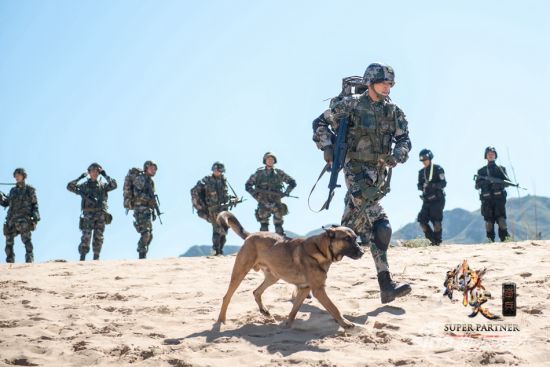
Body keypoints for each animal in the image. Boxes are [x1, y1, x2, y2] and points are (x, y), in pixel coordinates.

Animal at [217, 211, 366, 330]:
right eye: (347, 239)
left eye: (355, 238)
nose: (362, 252)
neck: (322, 249)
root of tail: (251, 235)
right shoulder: (318, 290)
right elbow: (334, 308)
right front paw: (345, 323)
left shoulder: (305, 288)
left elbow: (294, 309)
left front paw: (287, 325)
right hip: (240, 272)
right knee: (227, 297)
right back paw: (221, 320)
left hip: (273, 277)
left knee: (256, 291)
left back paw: (264, 311)